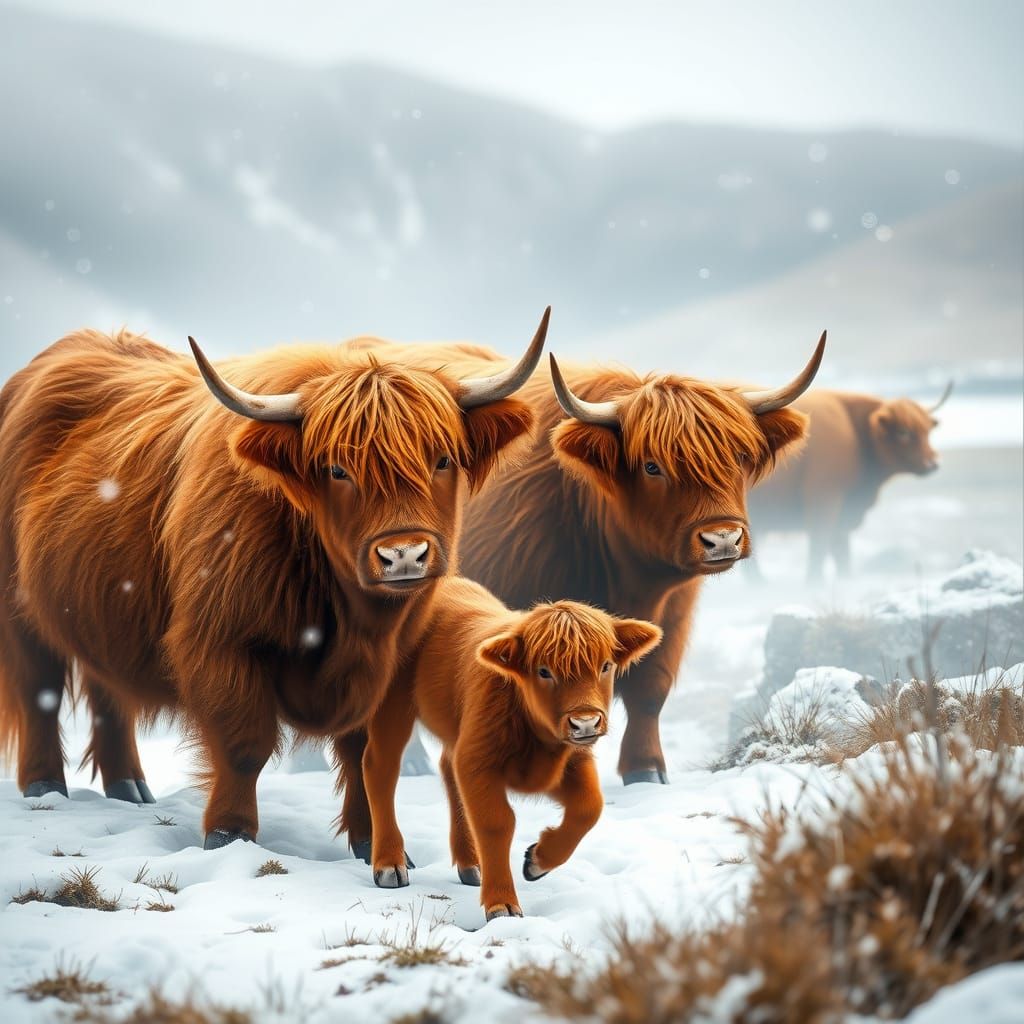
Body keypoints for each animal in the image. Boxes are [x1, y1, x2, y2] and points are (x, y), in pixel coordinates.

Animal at [0, 311, 548, 853]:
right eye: (336, 469)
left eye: (443, 460)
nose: (403, 554)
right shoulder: (221, 642)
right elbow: (245, 742)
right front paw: (229, 833)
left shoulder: (387, 665)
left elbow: (364, 750)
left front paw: (373, 845)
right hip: (18, 611)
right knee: (39, 688)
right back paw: (45, 786)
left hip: (100, 602)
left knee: (107, 688)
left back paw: (129, 788)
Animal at [336, 332, 825, 788]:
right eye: (652, 466)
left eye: (740, 456)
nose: (722, 538)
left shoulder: (673, 614)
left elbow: (650, 690)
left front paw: (646, 770)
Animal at [361, 575, 662, 921]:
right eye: (543, 671)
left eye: (606, 665)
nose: (585, 723)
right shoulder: (480, 763)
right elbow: (496, 823)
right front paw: (501, 904)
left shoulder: (569, 761)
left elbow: (589, 807)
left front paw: (537, 861)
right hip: (392, 707)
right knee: (381, 767)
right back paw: (389, 864)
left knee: (448, 770)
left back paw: (471, 864)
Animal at [747, 384, 952, 581]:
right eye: (903, 432)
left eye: (927, 430)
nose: (934, 463)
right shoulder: (824, 504)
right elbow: (818, 553)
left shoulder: (842, 520)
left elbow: (841, 557)